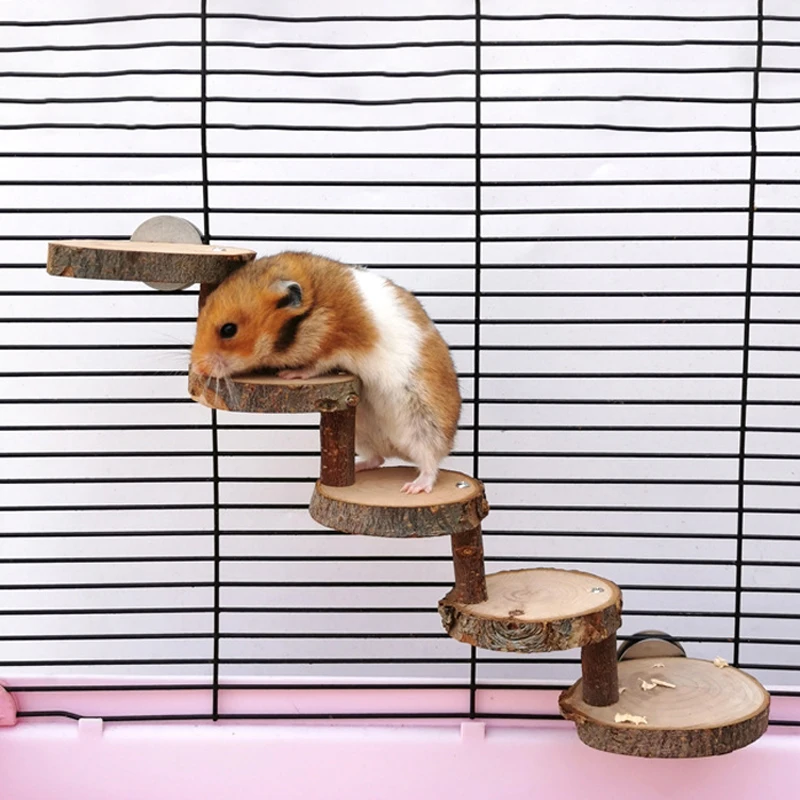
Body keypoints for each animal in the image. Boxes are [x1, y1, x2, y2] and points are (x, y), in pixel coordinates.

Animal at [190, 251, 461, 494]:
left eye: (228, 330)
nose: (198, 367)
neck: (310, 313)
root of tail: (399, 452)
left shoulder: (333, 346)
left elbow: (315, 366)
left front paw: (289, 375)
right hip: (363, 434)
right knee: (378, 459)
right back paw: (358, 468)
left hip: (424, 424)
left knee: (430, 463)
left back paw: (414, 488)